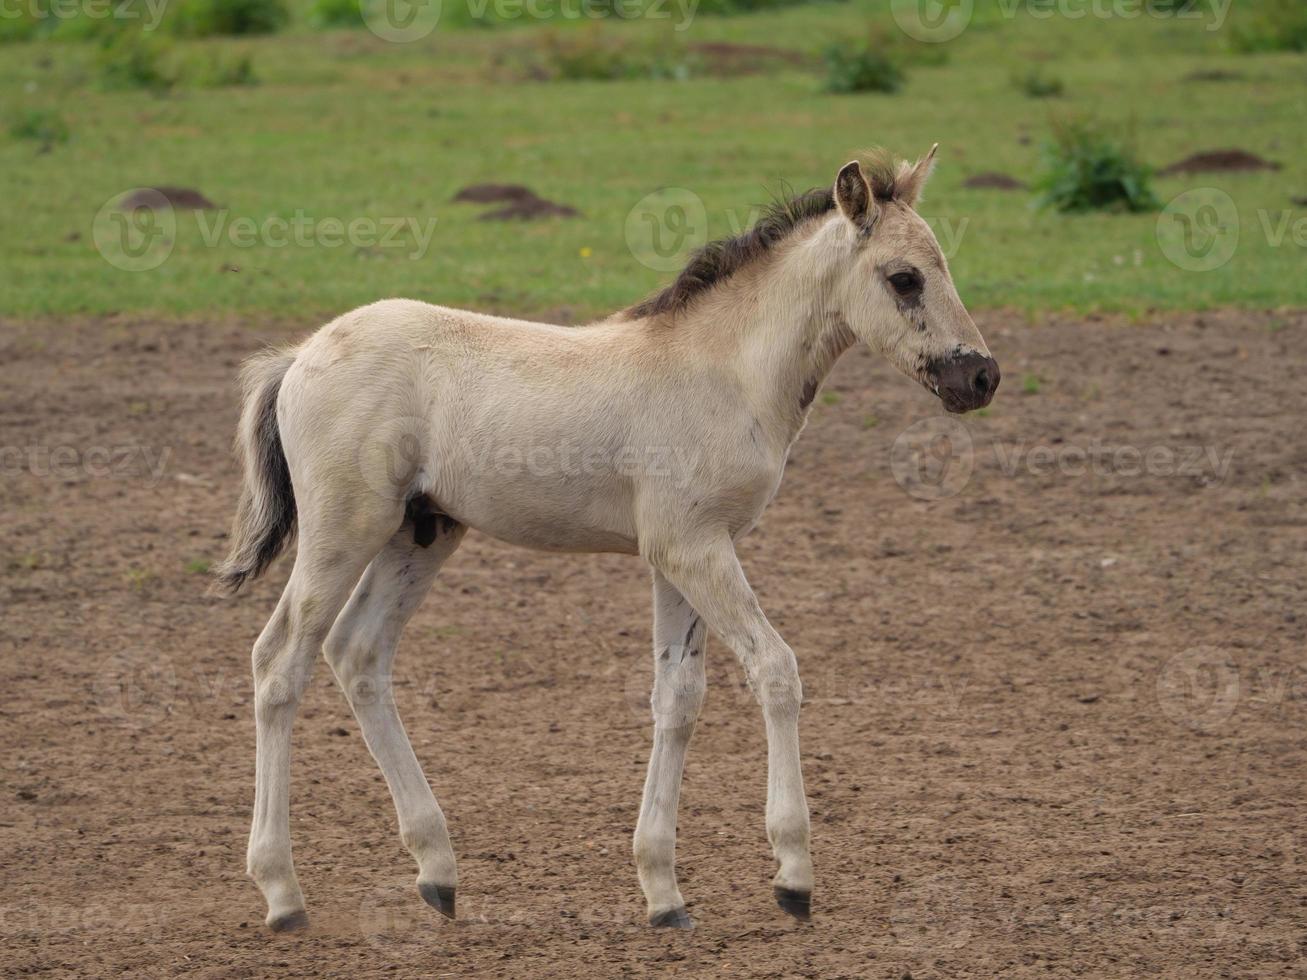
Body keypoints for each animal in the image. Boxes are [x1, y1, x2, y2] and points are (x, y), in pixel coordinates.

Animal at [216, 147, 998, 935]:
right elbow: (775, 671)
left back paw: (437, 871)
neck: (724, 371)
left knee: (359, 654)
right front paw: (793, 874)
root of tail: (300, 354)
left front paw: (663, 892)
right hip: (343, 531)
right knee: (280, 663)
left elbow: (677, 697)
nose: (981, 375)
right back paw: (282, 894)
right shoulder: (694, 548)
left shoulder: (677, 557)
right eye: (904, 278)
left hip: (420, 534)